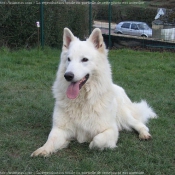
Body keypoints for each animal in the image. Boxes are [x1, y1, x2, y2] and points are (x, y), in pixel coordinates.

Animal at [31, 27, 157, 157]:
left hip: (124, 117)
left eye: (84, 59)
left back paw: (144, 134)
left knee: (139, 124)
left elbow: (97, 140)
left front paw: (92, 144)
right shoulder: (59, 129)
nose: (68, 76)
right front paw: (42, 150)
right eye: (69, 59)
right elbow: (50, 140)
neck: (82, 100)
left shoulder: (110, 130)